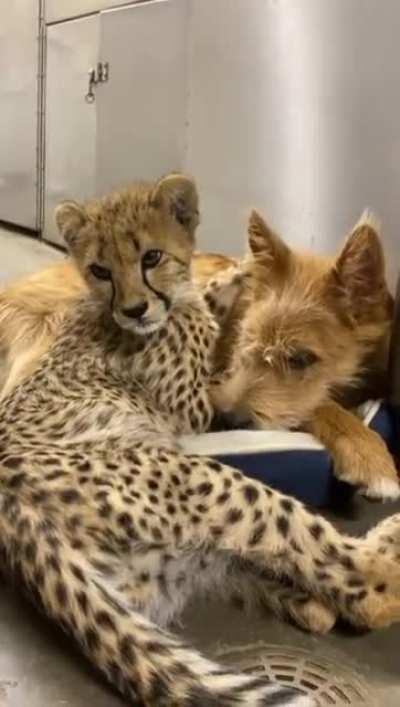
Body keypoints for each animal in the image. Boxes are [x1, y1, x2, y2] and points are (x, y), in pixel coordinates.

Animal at [1, 174, 400, 706]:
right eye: (102, 271)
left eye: (301, 358)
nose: (134, 309)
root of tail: (19, 526)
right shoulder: (202, 397)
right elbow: (311, 406)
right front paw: (369, 454)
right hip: (218, 484)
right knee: (363, 584)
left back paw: (312, 601)